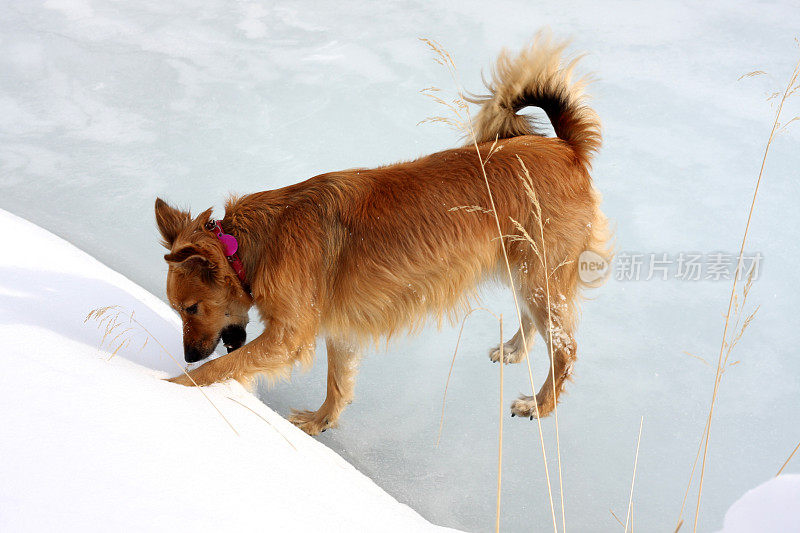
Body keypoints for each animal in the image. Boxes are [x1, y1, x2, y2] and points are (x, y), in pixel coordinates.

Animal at [156, 33, 612, 434]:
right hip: (526, 270)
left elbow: (223, 367)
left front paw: (172, 387)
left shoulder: (288, 336)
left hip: (540, 274)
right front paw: (320, 422)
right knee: (535, 320)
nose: (188, 354)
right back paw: (515, 350)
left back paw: (540, 405)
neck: (249, 245)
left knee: (565, 348)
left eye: (191, 309)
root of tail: (566, 148)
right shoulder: (338, 327)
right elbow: (338, 383)